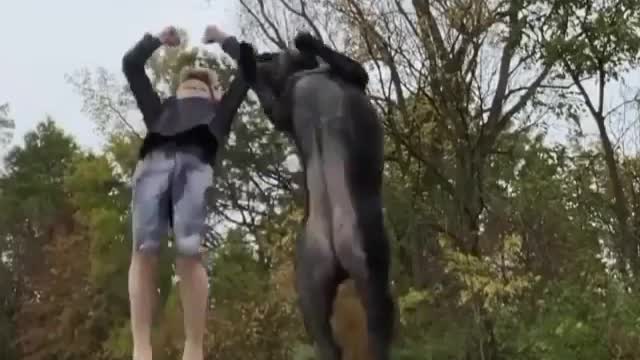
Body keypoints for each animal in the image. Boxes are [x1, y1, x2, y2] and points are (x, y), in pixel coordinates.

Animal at [241, 32, 392, 358]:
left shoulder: (287, 107)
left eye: (271, 56)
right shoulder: (351, 75)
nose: (264, 55)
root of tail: (334, 248)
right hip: (352, 274)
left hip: (325, 287)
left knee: (337, 342)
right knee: (368, 332)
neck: (305, 73)